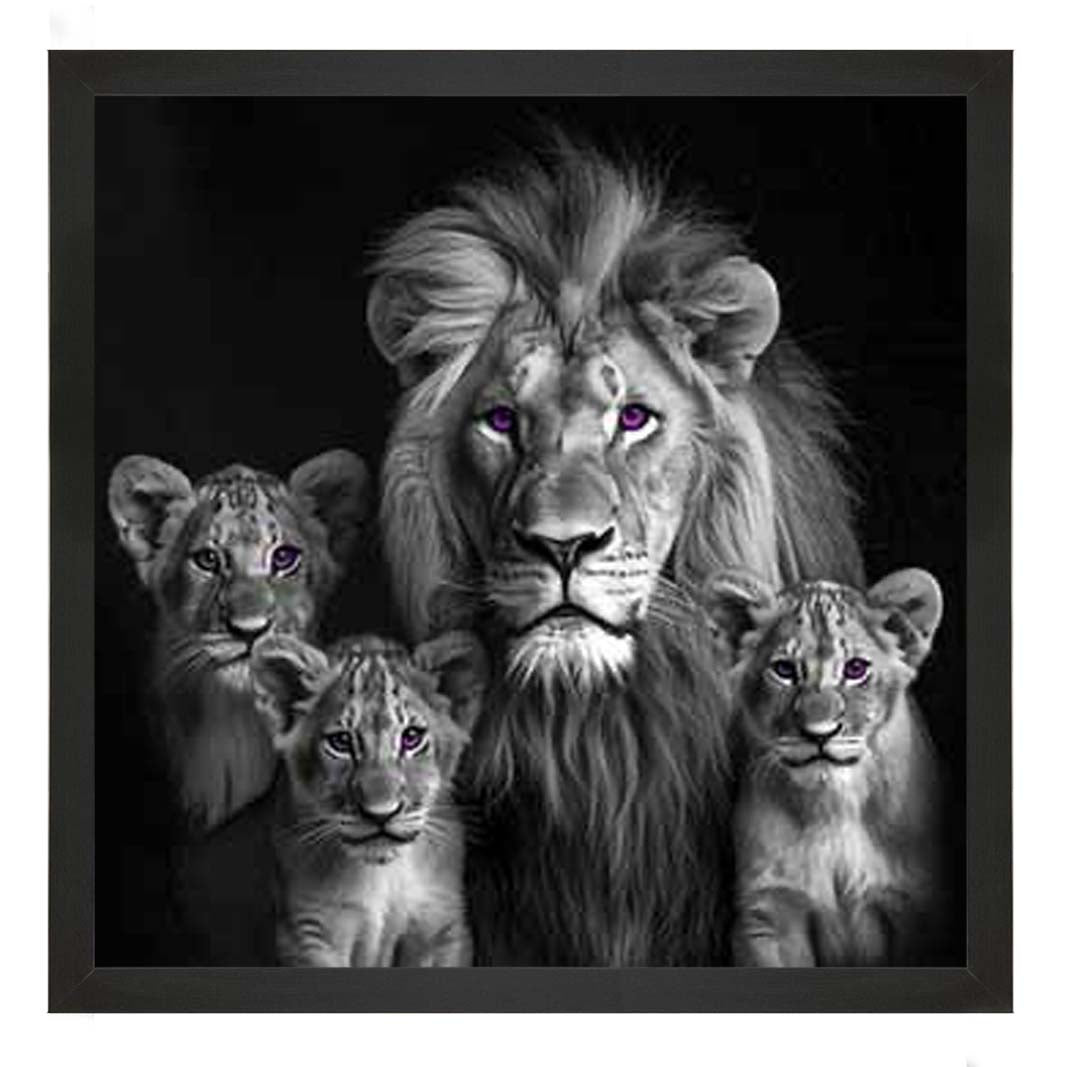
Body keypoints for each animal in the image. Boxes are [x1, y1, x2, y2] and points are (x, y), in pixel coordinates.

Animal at [250, 631, 485, 967]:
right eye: (340, 742)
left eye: (412, 737)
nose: (381, 814)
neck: (382, 875)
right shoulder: (308, 935)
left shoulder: (442, 928)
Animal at [704, 568, 944, 966]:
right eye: (784, 670)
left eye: (856, 669)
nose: (820, 733)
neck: (833, 805)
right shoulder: (769, 912)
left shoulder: (916, 908)